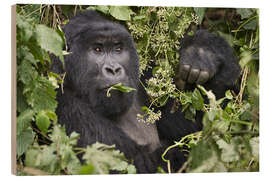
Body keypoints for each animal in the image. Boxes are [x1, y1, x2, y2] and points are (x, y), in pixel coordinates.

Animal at [50, 9, 240, 173]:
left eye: (118, 49)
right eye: (97, 49)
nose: (113, 69)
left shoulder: (145, 82)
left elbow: (196, 128)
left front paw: (203, 51)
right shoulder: (68, 107)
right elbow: (140, 163)